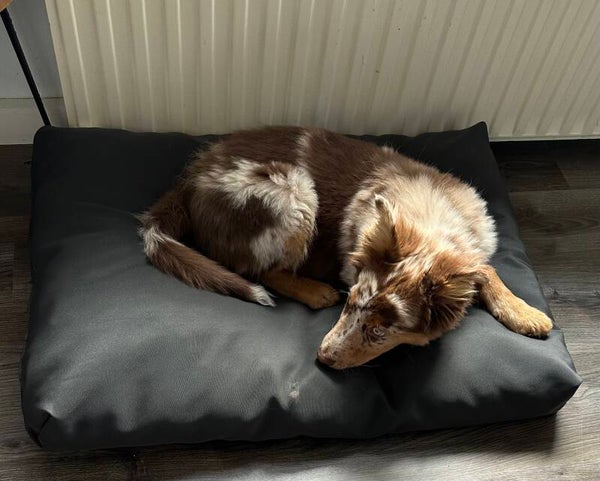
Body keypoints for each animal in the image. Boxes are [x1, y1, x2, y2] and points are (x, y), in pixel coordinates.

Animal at [139, 127, 553, 369]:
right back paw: (314, 291)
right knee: (258, 269)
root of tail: (191, 181)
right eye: (350, 300)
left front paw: (523, 311)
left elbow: (485, 269)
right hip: (294, 192)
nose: (322, 359)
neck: (430, 225)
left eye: (380, 331)